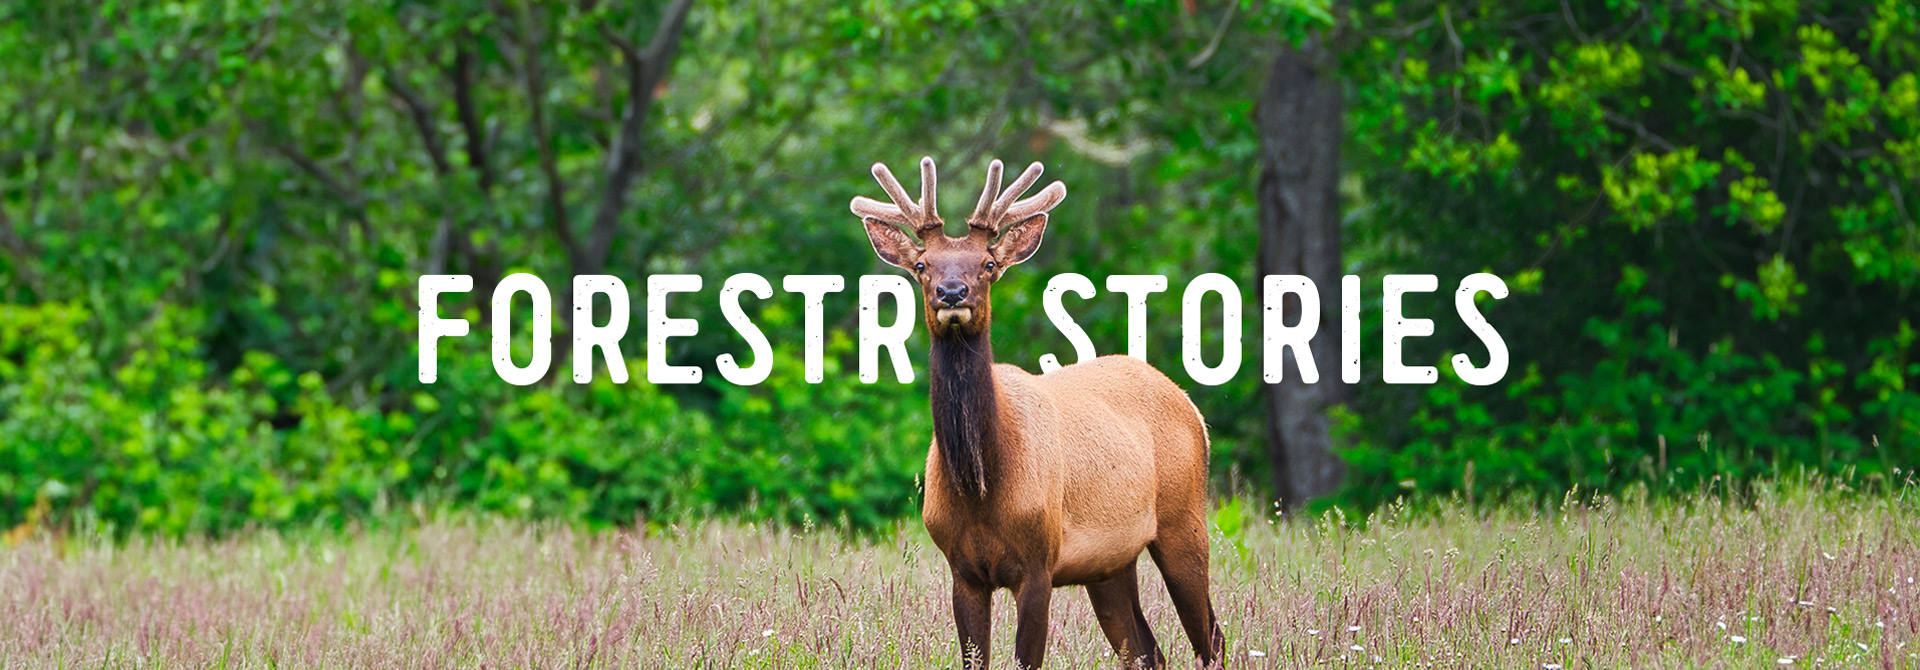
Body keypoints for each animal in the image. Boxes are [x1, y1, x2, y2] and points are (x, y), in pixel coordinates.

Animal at [851, 157, 1225, 670]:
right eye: (922, 265)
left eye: (988, 264)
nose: (952, 292)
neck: (981, 486)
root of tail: (1192, 407)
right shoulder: (963, 571)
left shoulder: (1039, 561)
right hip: (1111, 563)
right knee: (1148, 650)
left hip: (1183, 519)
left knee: (1211, 639)